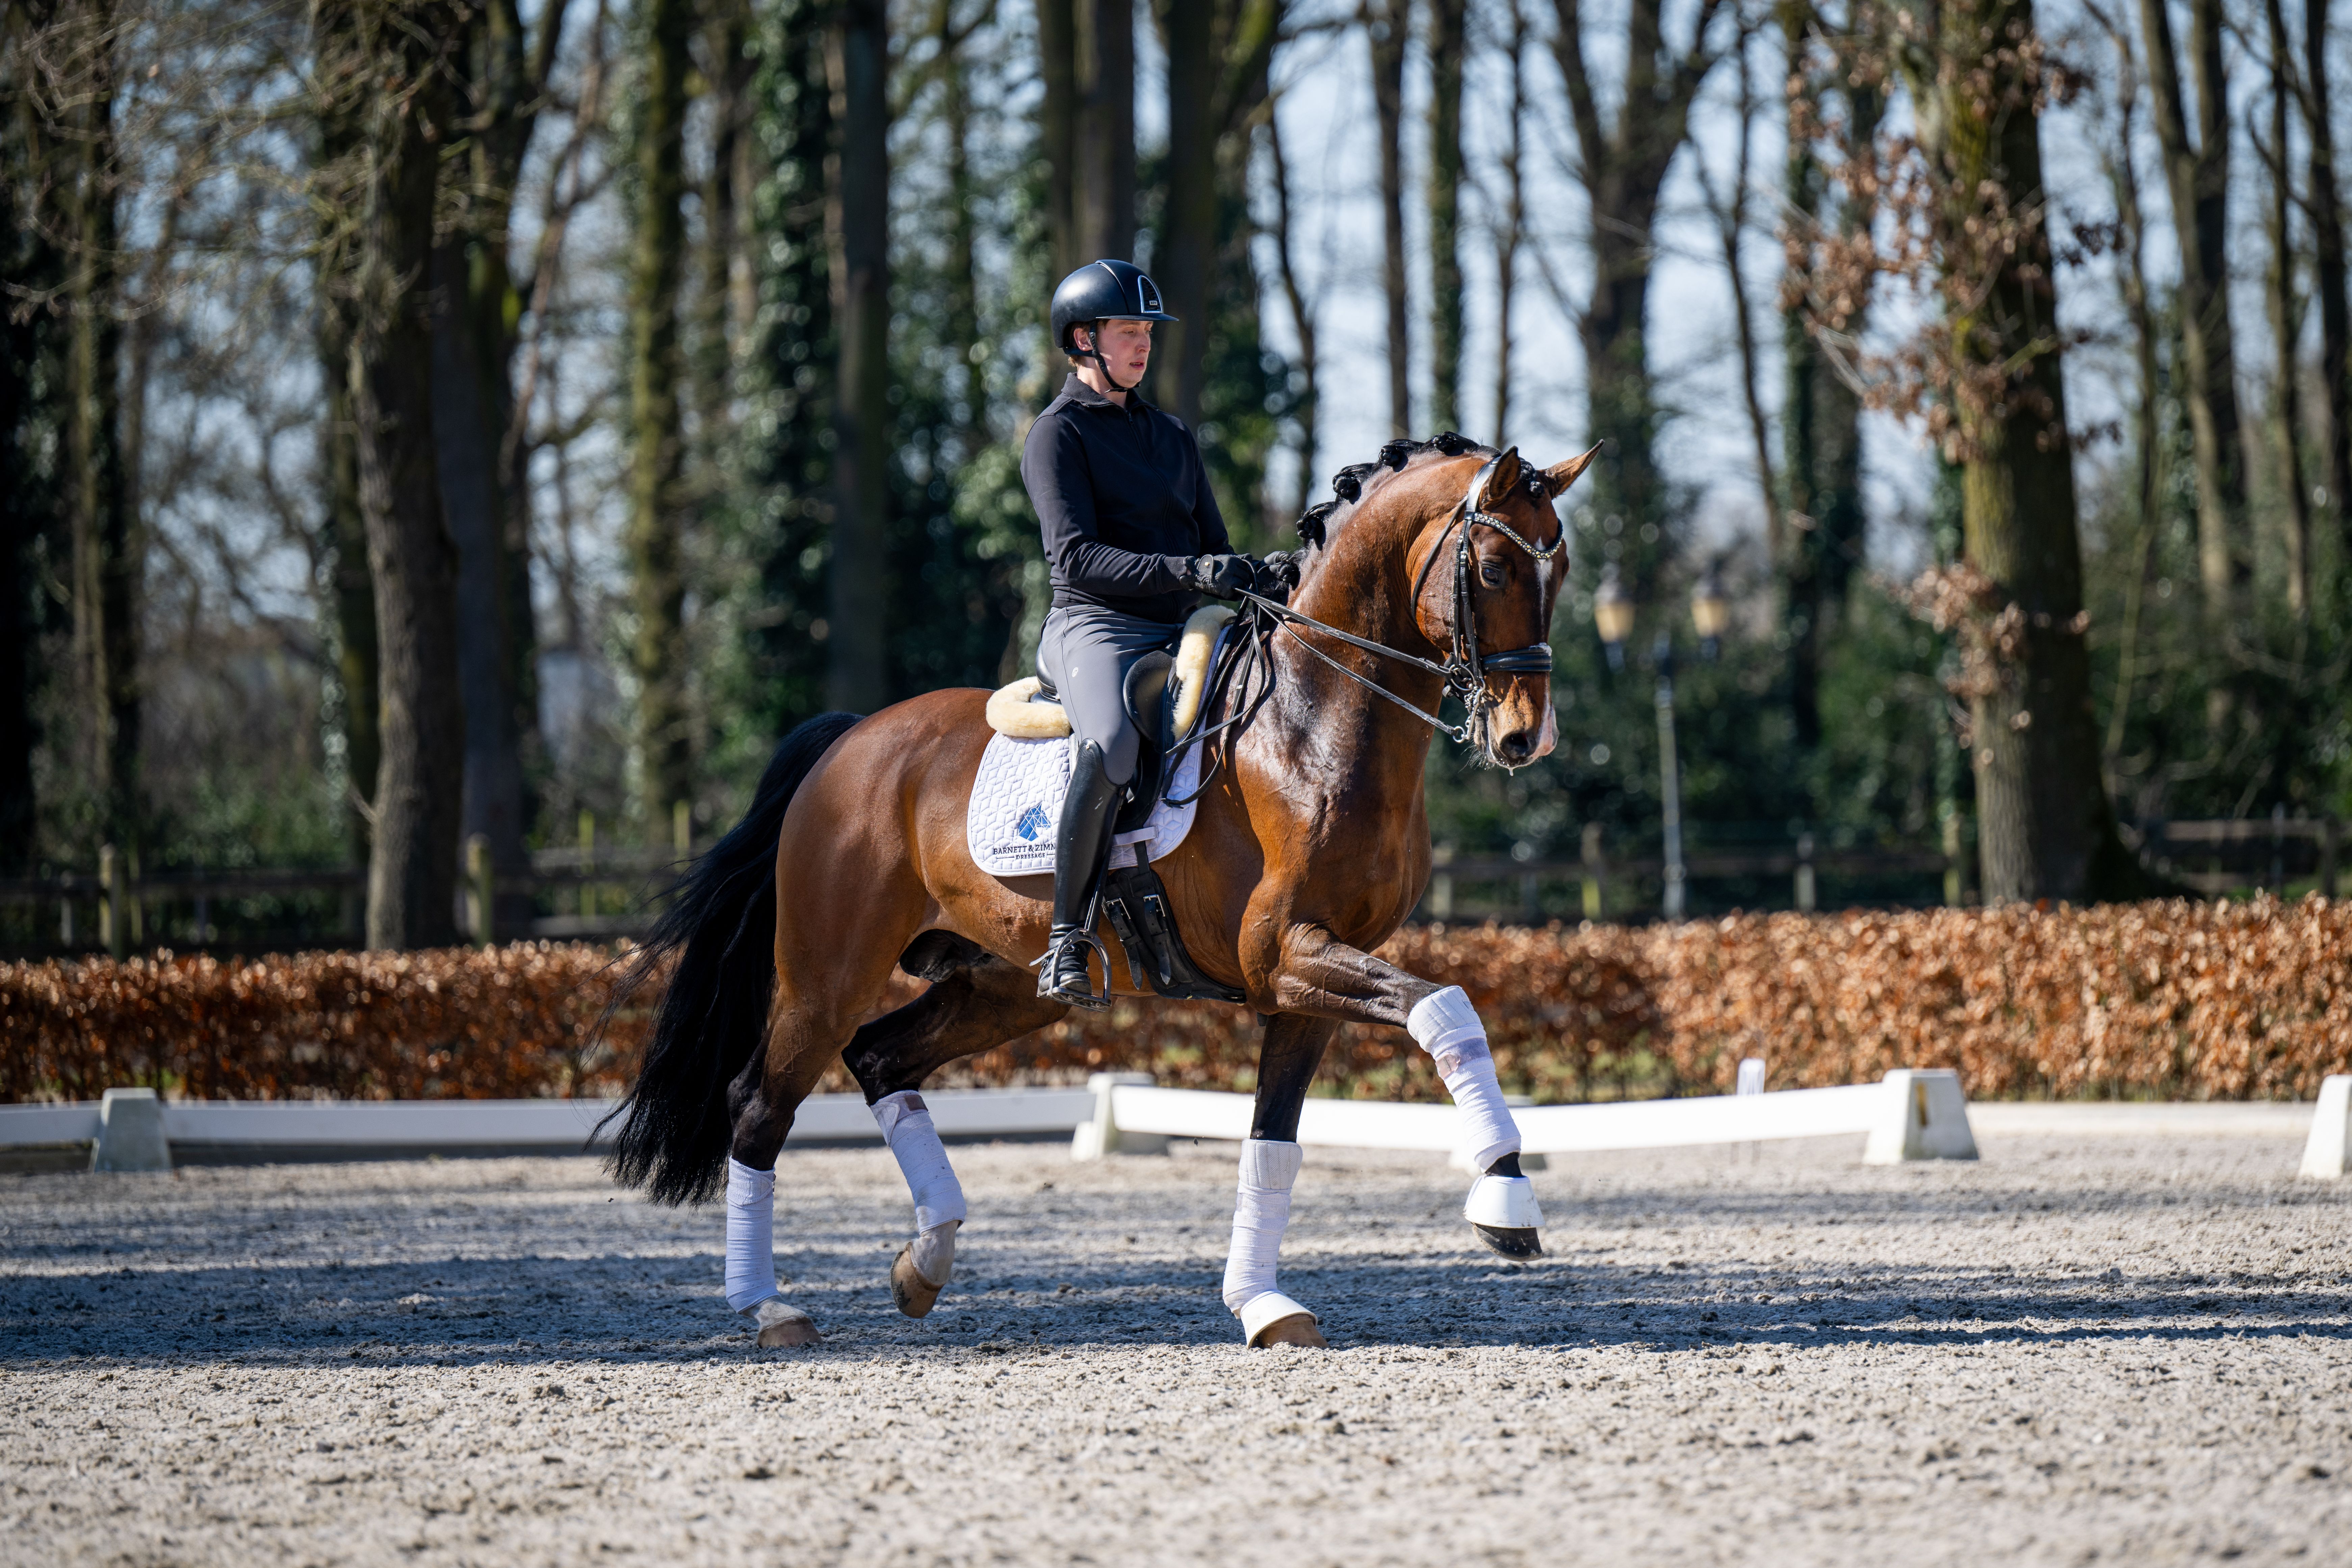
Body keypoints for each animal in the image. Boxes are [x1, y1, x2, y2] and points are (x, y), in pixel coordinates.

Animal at [600, 433, 1597, 1349]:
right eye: (1496, 566)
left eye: (1562, 570)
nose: (1526, 739)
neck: (1315, 723)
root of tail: (849, 740)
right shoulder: (1285, 955)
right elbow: (1447, 1008)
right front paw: (1505, 1198)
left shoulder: (1299, 989)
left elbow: (1272, 1145)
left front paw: (1261, 1304)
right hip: (825, 976)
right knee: (759, 1104)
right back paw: (771, 1306)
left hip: (1002, 987)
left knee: (881, 1059)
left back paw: (925, 1259)